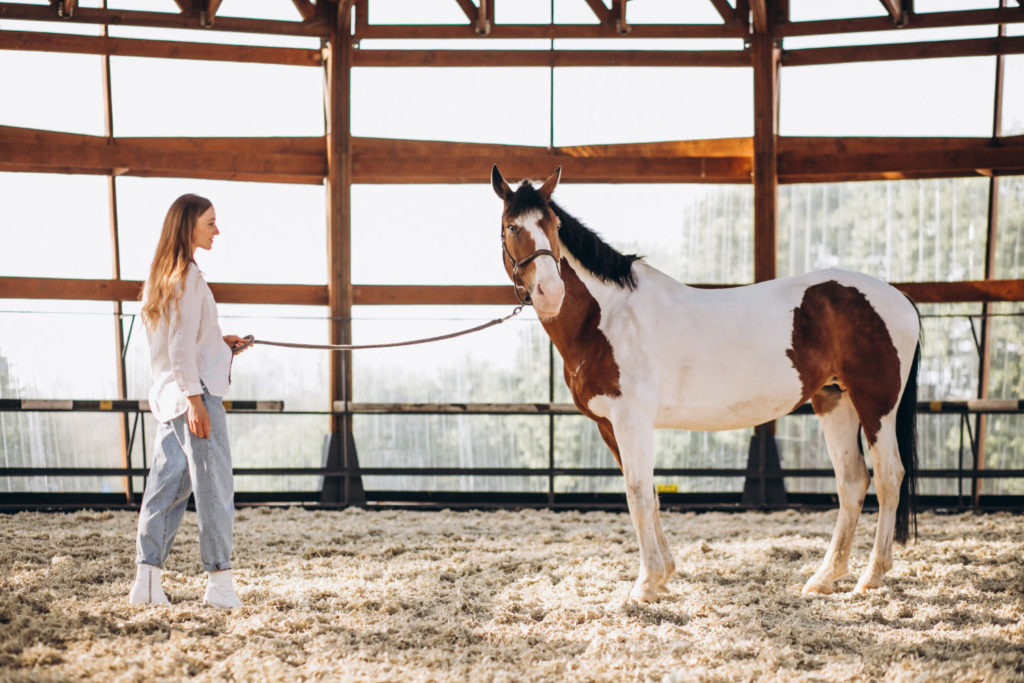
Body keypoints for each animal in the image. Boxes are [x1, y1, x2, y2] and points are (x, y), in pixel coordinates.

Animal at [487, 163, 921, 602]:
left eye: (554, 225)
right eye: (511, 226)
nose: (550, 292)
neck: (606, 316)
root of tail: (900, 299)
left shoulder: (631, 420)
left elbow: (637, 494)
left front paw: (645, 585)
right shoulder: (610, 426)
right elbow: (649, 493)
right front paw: (663, 575)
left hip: (876, 405)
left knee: (889, 478)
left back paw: (871, 576)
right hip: (835, 401)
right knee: (853, 482)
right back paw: (825, 577)